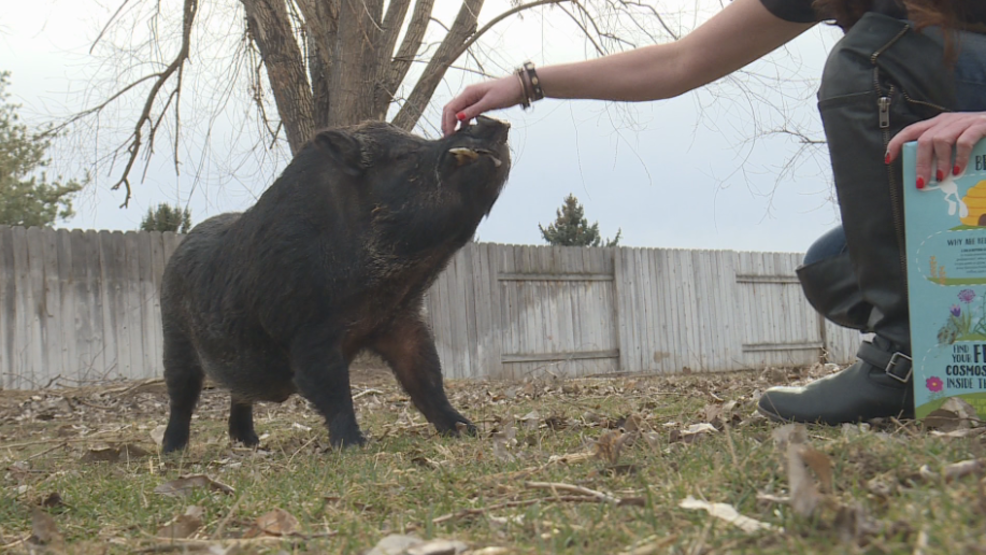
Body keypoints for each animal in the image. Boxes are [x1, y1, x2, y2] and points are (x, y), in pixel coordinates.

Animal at [160, 117, 510, 453]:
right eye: (404, 155)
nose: (494, 122)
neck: (382, 289)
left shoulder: (402, 320)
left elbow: (427, 378)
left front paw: (467, 430)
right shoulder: (307, 330)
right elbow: (332, 387)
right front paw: (354, 446)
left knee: (239, 395)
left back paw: (250, 443)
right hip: (175, 334)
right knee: (181, 395)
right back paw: (173, 451)